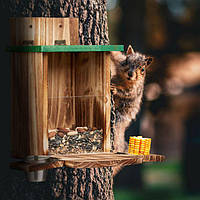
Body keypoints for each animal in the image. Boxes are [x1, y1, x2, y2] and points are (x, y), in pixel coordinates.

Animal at [110, 45, 152, 175]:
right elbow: (116, 55)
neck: (124, 79)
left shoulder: (134, 89)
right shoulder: (118, 61)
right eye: (126, 61)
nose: (130, 73)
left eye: (142, 69)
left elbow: (126, 93)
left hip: (119, 116)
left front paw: (115, 90)